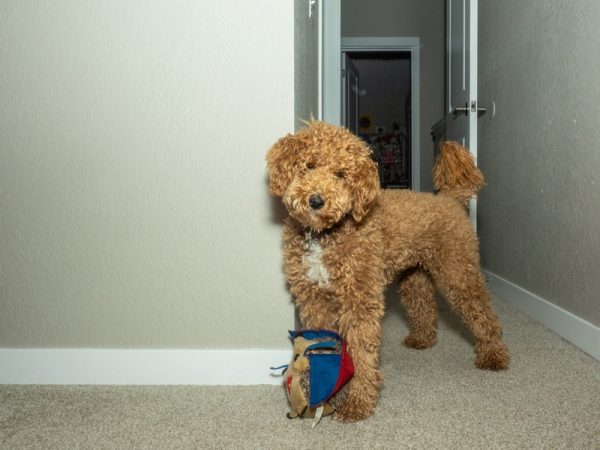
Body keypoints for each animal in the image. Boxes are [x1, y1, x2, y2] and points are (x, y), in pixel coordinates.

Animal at [264, 120, 508, 422]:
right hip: (413, 277)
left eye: (341, 174)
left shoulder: (360, 300)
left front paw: (357, 403)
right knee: (424, 307)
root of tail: (450, 199)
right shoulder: (314, 299)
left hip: (458, 272)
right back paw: (422, 339)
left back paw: (493, 355)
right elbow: (323, 344)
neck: (326, 236)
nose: (317, 200)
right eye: (308, 165)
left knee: (483, 314)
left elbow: (362, 352)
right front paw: (324, 390)